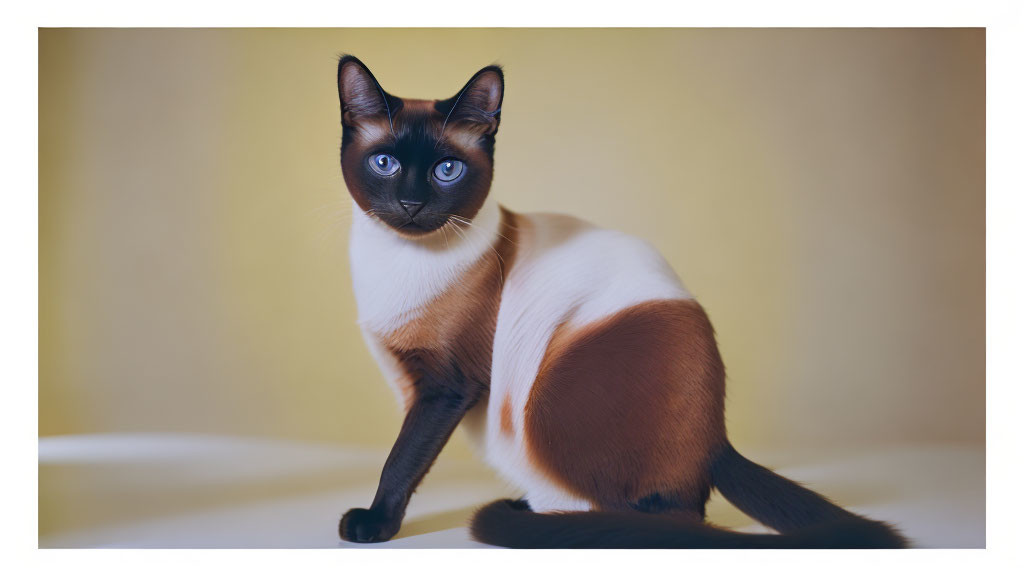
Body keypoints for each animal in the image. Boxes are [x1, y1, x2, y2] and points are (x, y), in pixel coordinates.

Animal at [333, 54, 905, 545]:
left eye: (446, 170)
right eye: (384, 163)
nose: (411, 204)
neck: (401, 259)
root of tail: (717, 441)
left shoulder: (445, 388)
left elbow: (401, 461)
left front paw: (374, 525)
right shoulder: (418, 381)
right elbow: (402, 457)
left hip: (546, 403)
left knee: (666, 518)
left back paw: (543, 515)